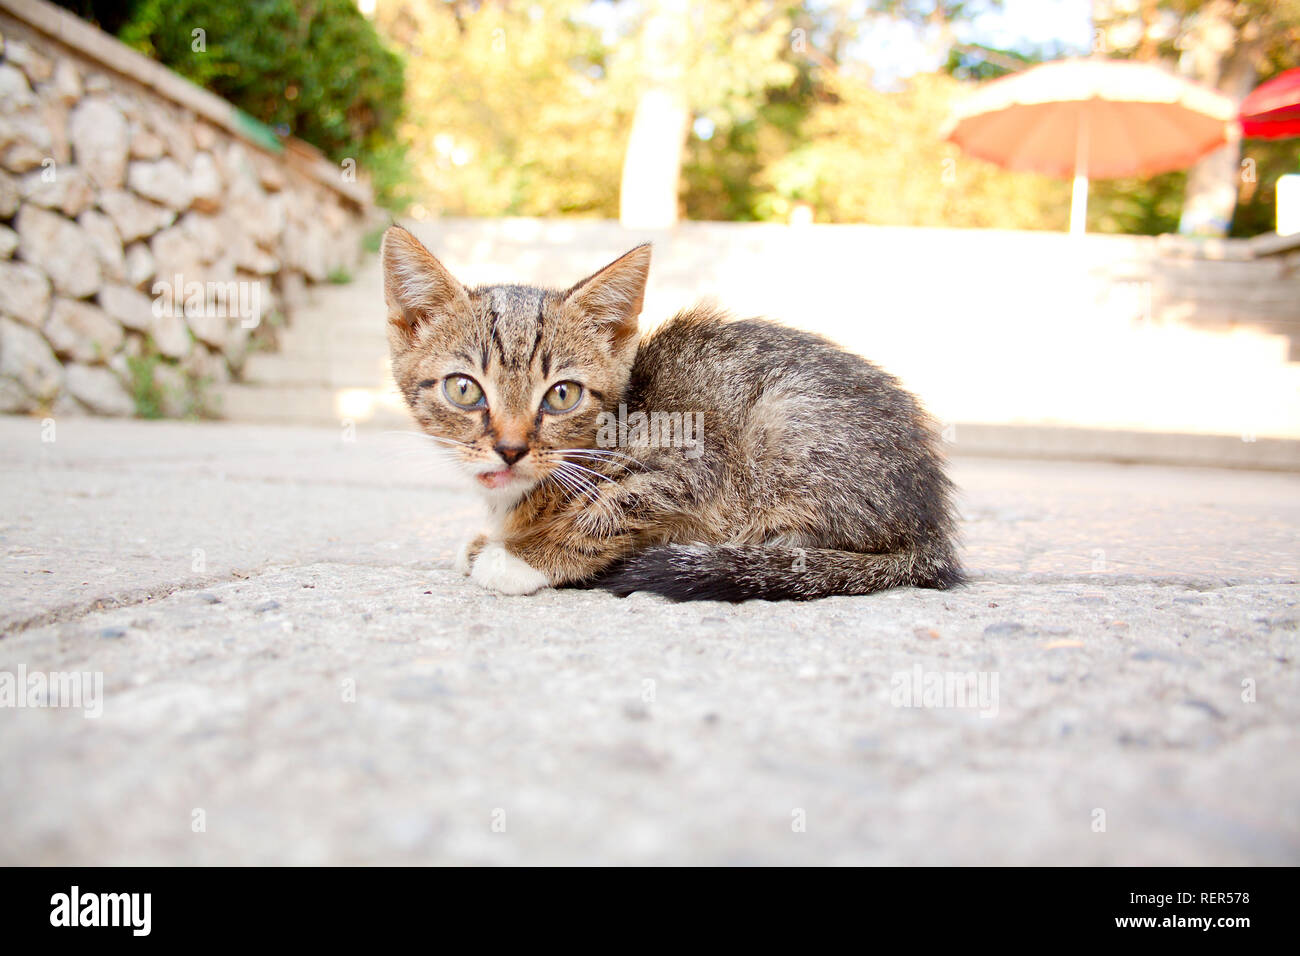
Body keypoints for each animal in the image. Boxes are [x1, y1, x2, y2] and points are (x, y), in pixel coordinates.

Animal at [379, 225, 961, 600]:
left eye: (562, 395)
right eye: (464, 389)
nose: (510, 448)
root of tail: (931, 529)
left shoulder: (693, 461)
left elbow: (610, 511)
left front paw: (524, 556)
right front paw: (497, 538)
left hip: (781, 421)